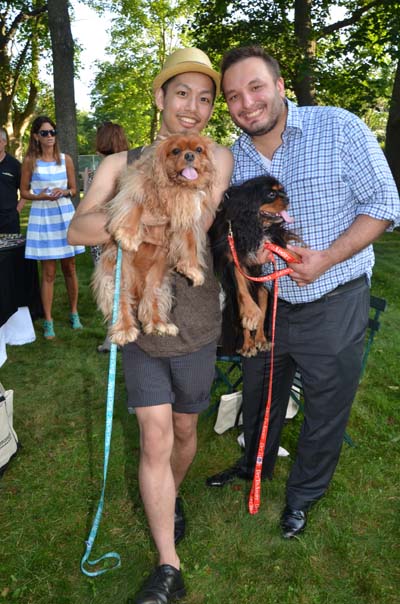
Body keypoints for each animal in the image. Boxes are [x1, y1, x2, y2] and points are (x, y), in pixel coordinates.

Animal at [92, 134, 216, 346]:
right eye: (176, 151)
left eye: (199, 150)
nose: (189, 155)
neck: (175, 187)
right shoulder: (134, 187)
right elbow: (136, 205)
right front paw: (128, 235)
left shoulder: (187, 217)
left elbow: (190, 243)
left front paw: (192, 270)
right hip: (116, 277)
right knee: (121, 303)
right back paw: (125, 330)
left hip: (157, 281)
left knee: (152, 301)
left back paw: (159, 325)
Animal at [209, 175, 300, 356]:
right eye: (271, 194)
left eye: (283, 191)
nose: (287, 198)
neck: (252, 225)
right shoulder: (232, 258)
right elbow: (241, 288)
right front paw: (251, 313)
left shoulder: (270, 236)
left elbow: (282, 244)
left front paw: (296, 257)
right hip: (233, 301)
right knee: (242, 318)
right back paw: (248, 345)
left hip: (264, 288)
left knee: (263, 307)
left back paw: (261, 339)